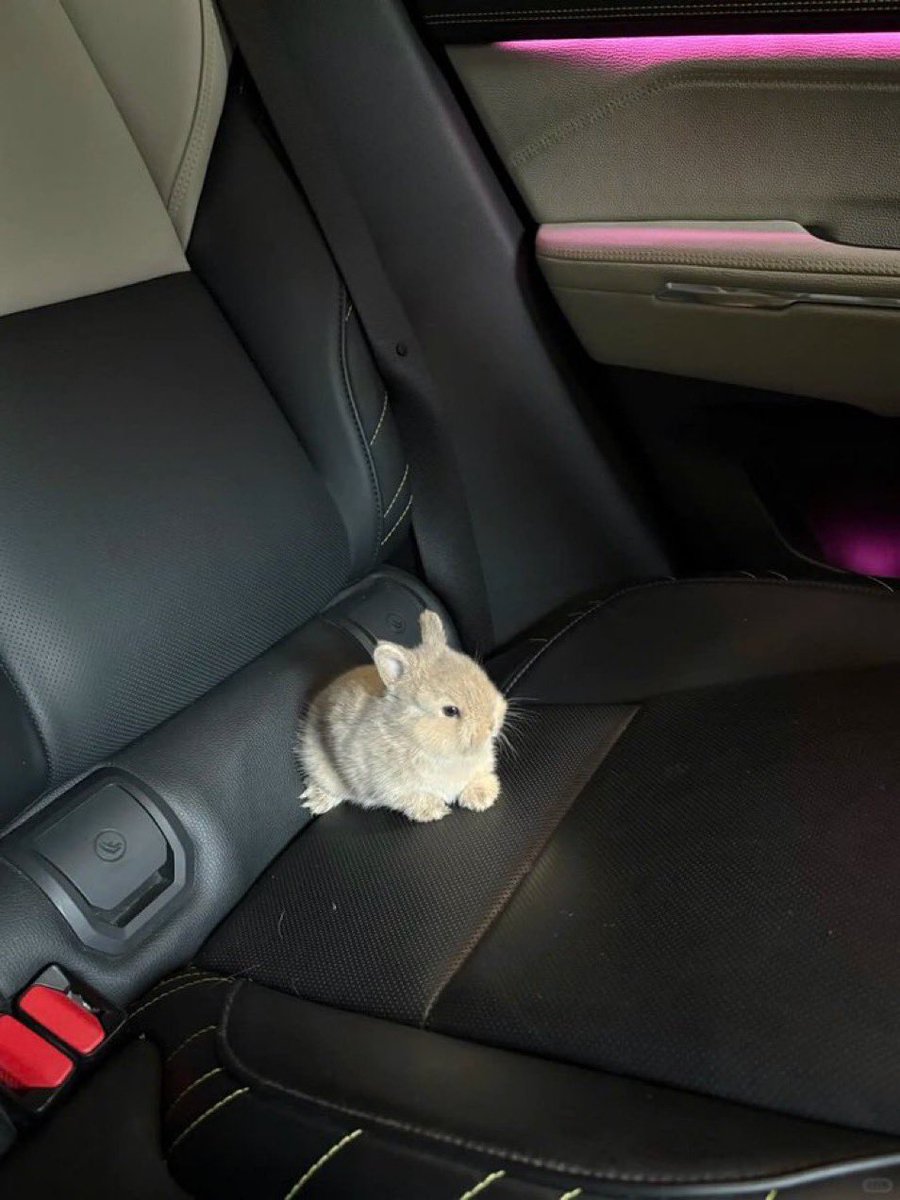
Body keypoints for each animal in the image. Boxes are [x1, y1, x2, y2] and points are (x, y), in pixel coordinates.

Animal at [298, 610, 507, 823]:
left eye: (481, 676)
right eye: (450, 711)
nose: (492, 725)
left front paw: (481, 797)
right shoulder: (392, 788)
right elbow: (413, 798)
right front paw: (433, 811)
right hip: (318, 764)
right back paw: (316, 802)